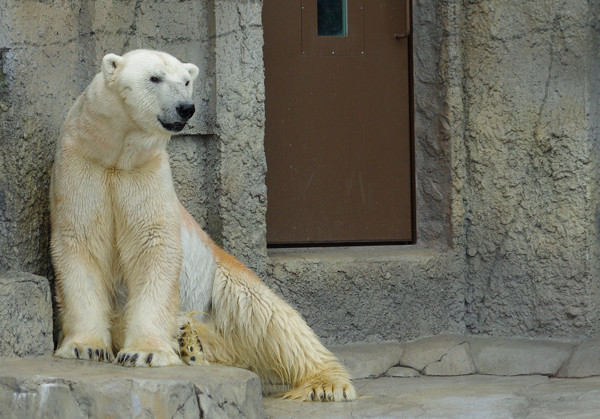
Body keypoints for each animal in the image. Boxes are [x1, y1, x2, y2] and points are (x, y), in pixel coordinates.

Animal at [51, 50, 356, 404]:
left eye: (186, 81)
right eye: (154, 78)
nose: (186, 107)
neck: (116, 154)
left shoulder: (146, 173)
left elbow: (154, 247)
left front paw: (145, 353)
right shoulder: (82, 167)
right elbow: (79, 243)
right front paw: (85, 348)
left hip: (217, 278)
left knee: (270, 319)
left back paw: (327, 383)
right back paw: (191, 342)